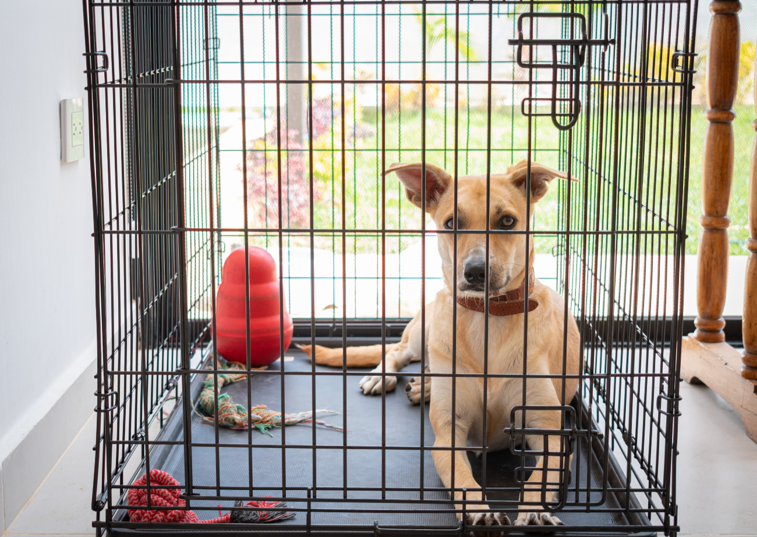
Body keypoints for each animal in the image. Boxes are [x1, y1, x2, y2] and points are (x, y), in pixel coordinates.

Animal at [302, 159, 580, 528]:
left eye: (507, 221)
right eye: (451, 224)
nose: (475, 272)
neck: (487, 318)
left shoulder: (550, 433)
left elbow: (539, 477)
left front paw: (534, 511)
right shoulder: (449, 435)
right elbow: (463, 479)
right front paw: (480, 512)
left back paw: (425, 387)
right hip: (426, 327)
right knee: (399, 350)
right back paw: (387, 376)